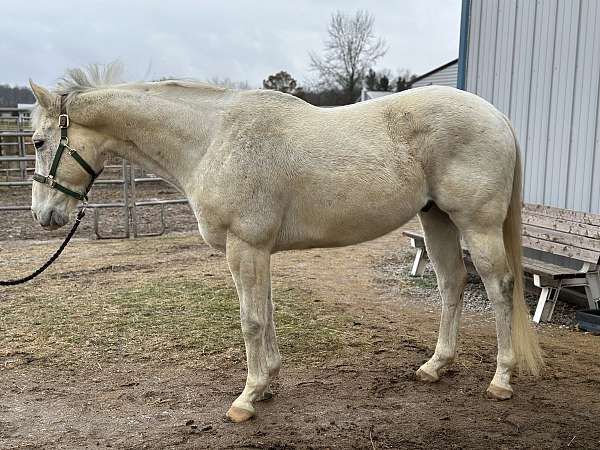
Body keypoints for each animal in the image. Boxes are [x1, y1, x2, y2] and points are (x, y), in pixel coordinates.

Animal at [29, 65, 544, 424]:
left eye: (36, 141)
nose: (43, 216)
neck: (212, 139)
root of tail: (497, 116)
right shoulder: (259, 252)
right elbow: (268, 314)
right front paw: (268, 385)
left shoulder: (245, 248)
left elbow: (251, 321)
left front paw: (246, 399)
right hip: (436, 218)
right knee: (452, 284)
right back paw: (435, 366)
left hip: (476, 224)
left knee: (499, 288)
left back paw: (501, 379)